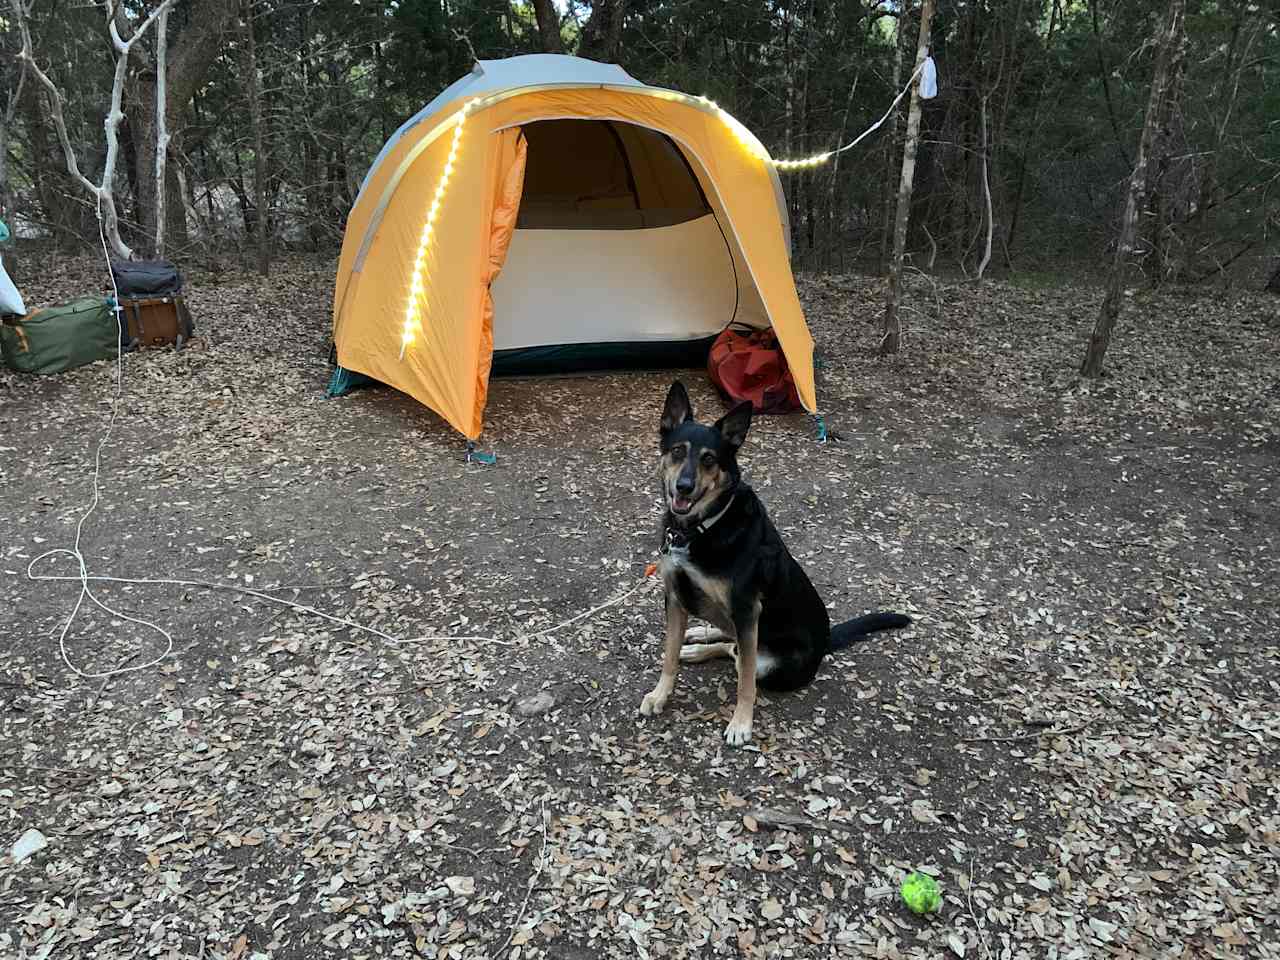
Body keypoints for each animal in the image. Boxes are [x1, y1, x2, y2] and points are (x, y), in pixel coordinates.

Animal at [640, 381, 911, 742]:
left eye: (709, 459)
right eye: (678, 451)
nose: (684, 486)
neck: (702, 528)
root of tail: (826, 640)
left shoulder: (746, 609)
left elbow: (745, 681)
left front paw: (741, 723)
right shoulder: (674, 597)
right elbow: (668, 656)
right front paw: (660, 695)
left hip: (771, 661)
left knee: (742, 659)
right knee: (732, 648)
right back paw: (696, 641)